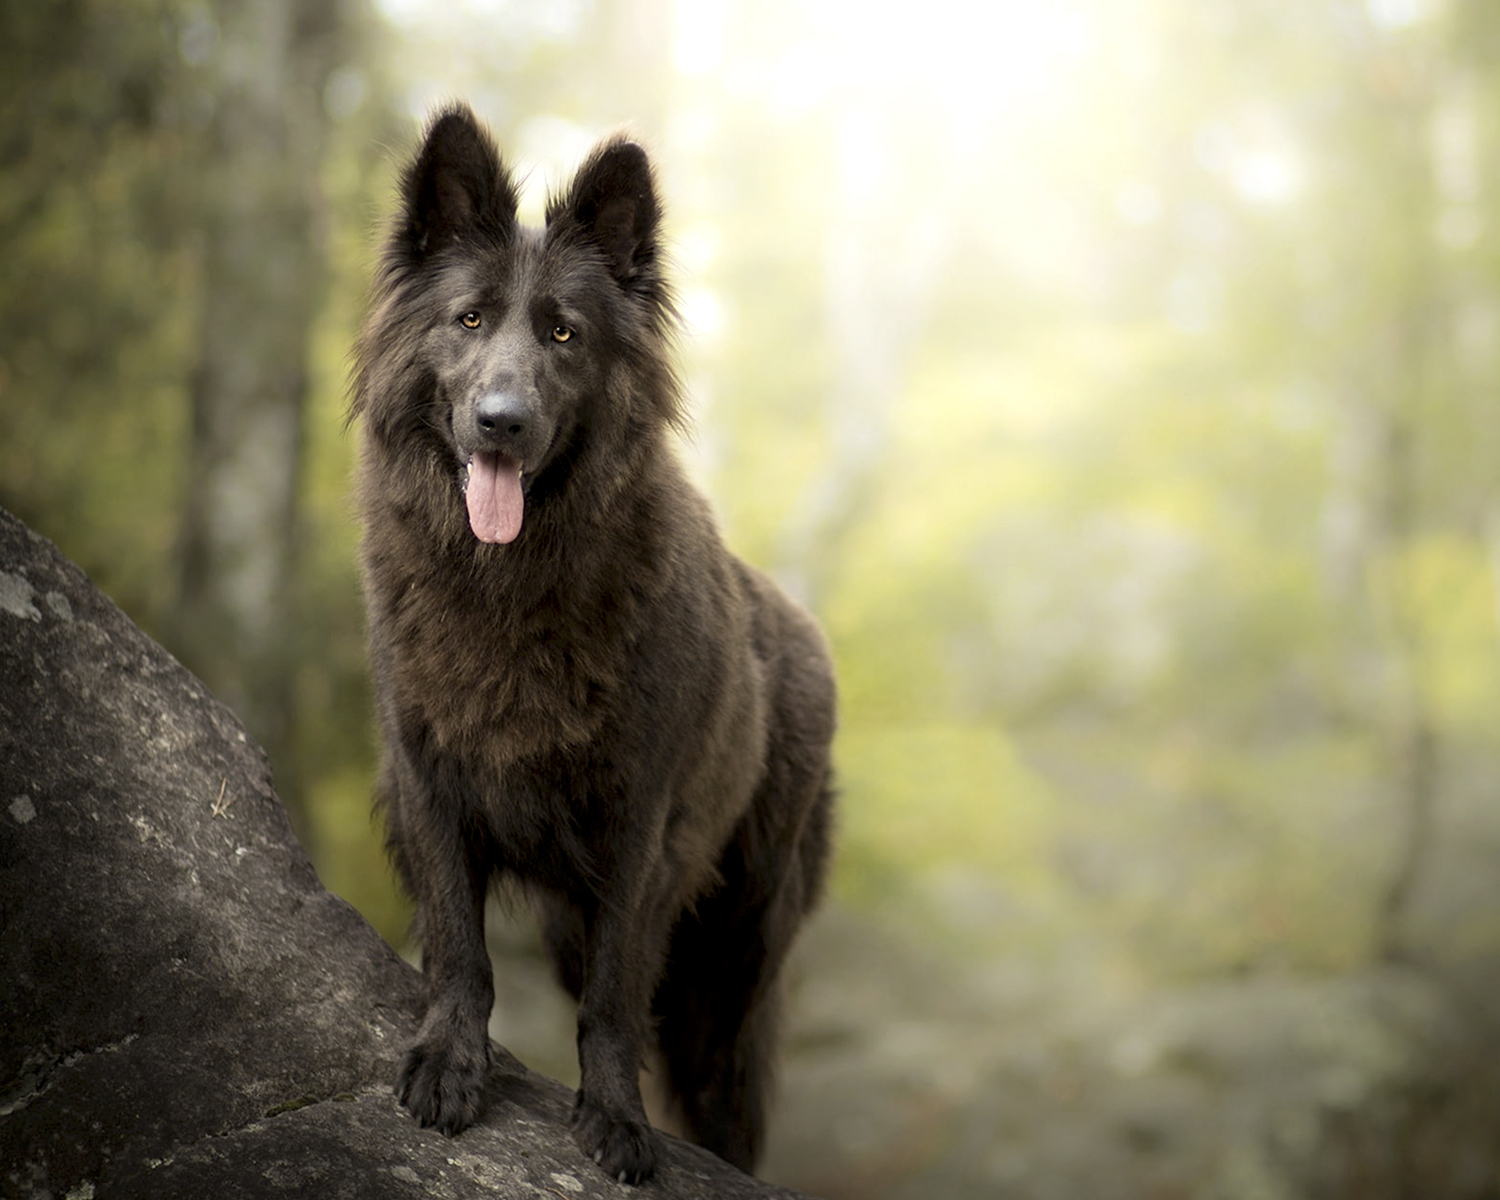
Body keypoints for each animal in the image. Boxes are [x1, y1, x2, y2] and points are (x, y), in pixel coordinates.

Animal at [352, 108, 846, 1188]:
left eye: (563, 334)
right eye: (468, 321)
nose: (502, 422)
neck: (509, 585)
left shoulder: (638, 835)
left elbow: (615, 1000)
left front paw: (614, 1118)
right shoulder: (428, 785)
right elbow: (460, 948)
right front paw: (450, 1063)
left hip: (733, 967)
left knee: (723, 1093)